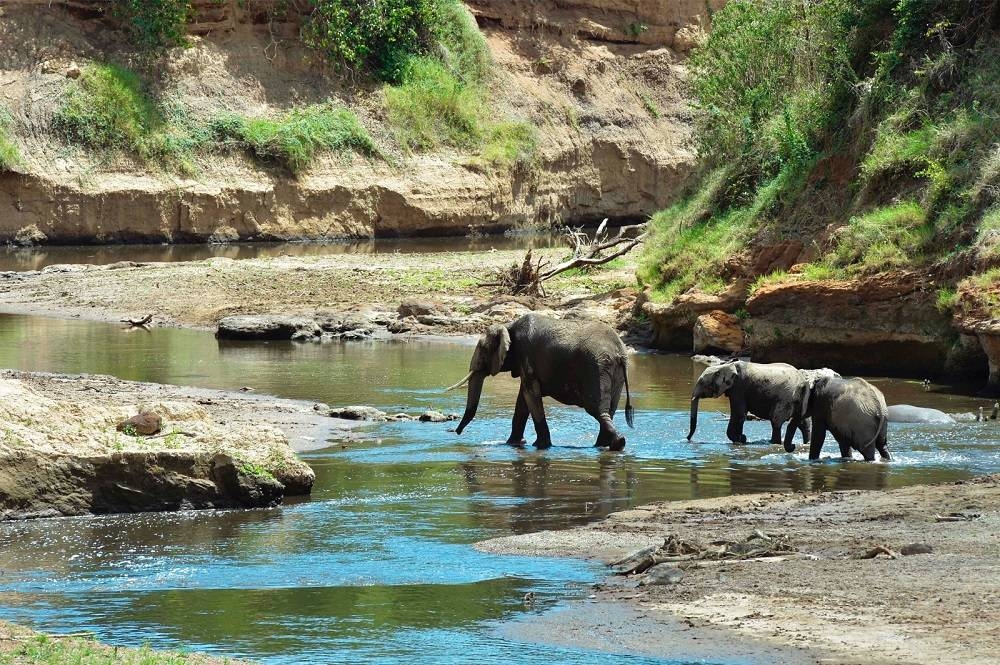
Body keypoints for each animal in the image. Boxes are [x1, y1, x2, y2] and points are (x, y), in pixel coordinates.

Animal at [447, 313, 634, 450]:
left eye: (484, 349)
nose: (456, 432)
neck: (508, 326)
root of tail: (620, 353)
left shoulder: (526, 354)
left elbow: (530, 395)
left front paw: (541, 446)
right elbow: (523, 399)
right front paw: (513, 444)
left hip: (596, 368)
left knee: (596, 408)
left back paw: (616, 444)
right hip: (613, 373)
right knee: (609, 409)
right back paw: (605, 446)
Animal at [687, 360, 838, 446]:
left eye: (702, 382)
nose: (688, 439)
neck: (726, 365)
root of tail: (803, 381)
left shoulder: (739, 387)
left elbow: (739, 414)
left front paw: (741, 439)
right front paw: (741, 439)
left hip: (786, 396)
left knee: (776, 420)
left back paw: (774, 443)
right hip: (800, 399)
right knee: (803, 422)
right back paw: (806, 443)